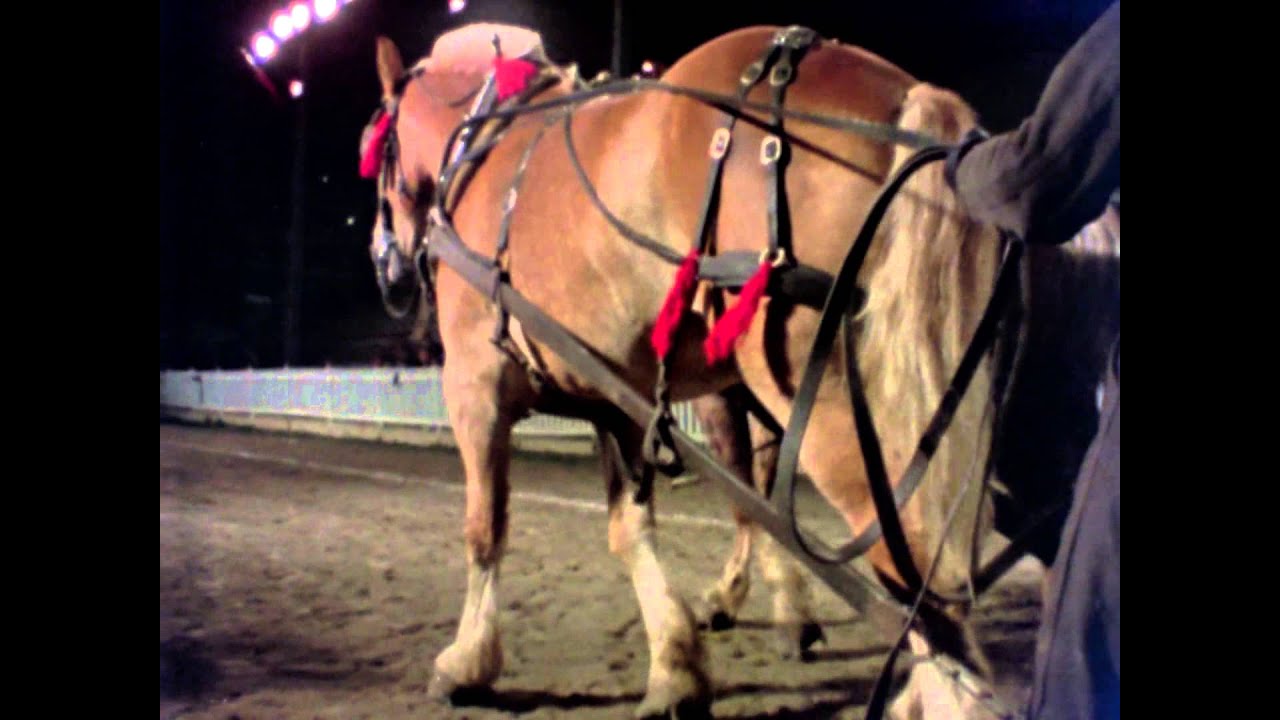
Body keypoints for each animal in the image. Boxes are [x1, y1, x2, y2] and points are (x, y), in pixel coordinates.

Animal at [356, 21, 1117, 718]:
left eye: (380, 142)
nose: (384, 260)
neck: (491, 155)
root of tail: (915, 111)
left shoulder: (475, 390)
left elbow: (485, 528)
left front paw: (467, 663)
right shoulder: (616, 396)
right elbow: (630, 530)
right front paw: (676, 666)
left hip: (835, 413)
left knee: (922, 591)